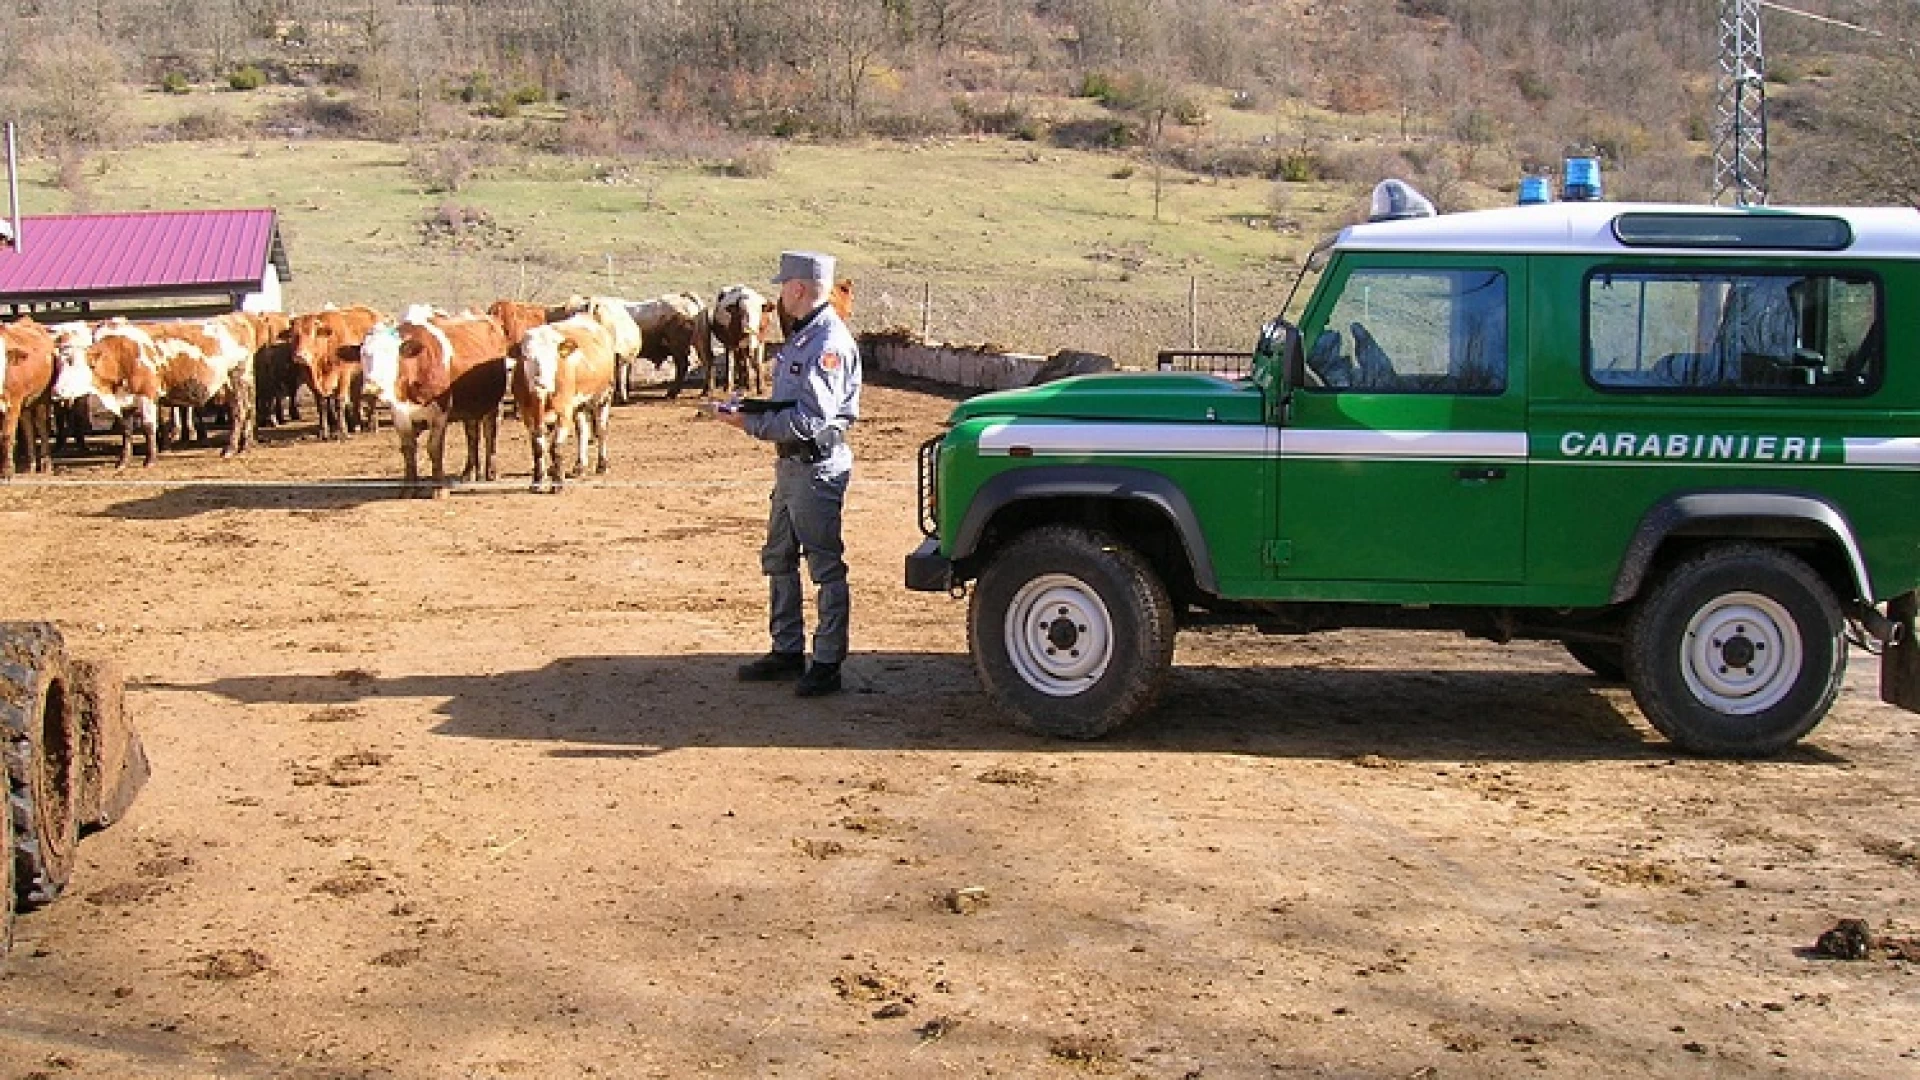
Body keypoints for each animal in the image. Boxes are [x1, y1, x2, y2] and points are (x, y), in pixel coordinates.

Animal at [1, 315, 58, 474]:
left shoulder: (13, 403)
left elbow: (7, 435)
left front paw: (7, 471)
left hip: (42, 396)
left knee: (41, 423)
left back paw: (46, 464)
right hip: (25, 402)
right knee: (27, 426)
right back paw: (31, 465)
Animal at [288, 303, 382, 438]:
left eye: (312, 334)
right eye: (293, 335)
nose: (300, 356)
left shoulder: (343, 376)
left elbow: (340, 401)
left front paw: (342, 431)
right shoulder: (311, 381)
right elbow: (321, 404)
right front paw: (323, 431)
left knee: (372, 397)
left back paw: (372, 425)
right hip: (357, 377)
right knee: (356, 397)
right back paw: (356, 425)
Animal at [360, 309, 510, 495]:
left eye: (390, 354)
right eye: (363, 355)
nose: (371, 390)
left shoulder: (440, 412)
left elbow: (434, 448)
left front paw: (439, 488)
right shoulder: (399, 413)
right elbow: (408, 449)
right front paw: (409, 488)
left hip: (492, 405)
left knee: (490, 435)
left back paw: (491, 472)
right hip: (470, 408)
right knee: (472, 436)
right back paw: (469, 472)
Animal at [510, 315, 614, 491]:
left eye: (553, 357)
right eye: (526, 357)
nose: (540, 382)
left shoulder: (564, 412)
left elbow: (555, 446)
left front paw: (557, 482)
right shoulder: (527, 414)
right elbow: (538, 447)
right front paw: (538, 480)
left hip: (603, 396)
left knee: (601, 429)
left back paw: (602, 465)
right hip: (579, 405)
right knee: (582, 431)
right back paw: (580, 466)